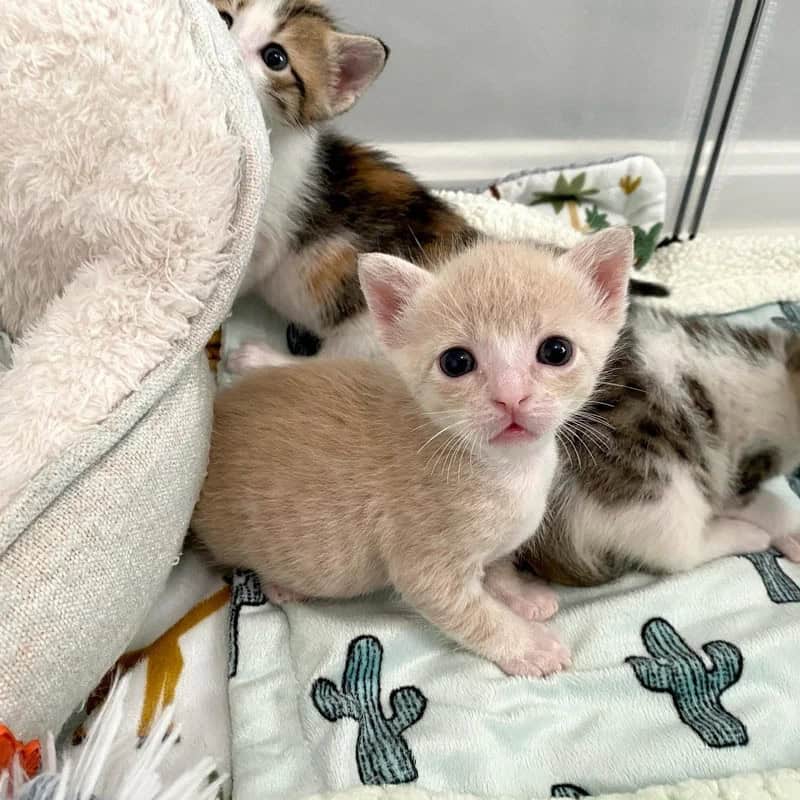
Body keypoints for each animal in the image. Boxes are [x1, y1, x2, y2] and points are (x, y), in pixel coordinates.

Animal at [191, 227, 635, 676]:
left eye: (556, 351)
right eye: (456, 362)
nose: (511, 397)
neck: (510, 470)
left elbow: (498, 564)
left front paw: (519, 592)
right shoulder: (424, 566)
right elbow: (477, 618)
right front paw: (530, 646)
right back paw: (281, 585)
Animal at [212, 0, 667, 360]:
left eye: (275, 57)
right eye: (224, 18)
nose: (226, 47)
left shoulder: (268, 232)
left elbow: (242, 273)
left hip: (373, 332)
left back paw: (259, 360)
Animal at [518, 306, 800, 585]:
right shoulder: (742, 467)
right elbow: (765, 504)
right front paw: (788, 528)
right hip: (660, 482)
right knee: (681, 550)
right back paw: (748, 535)